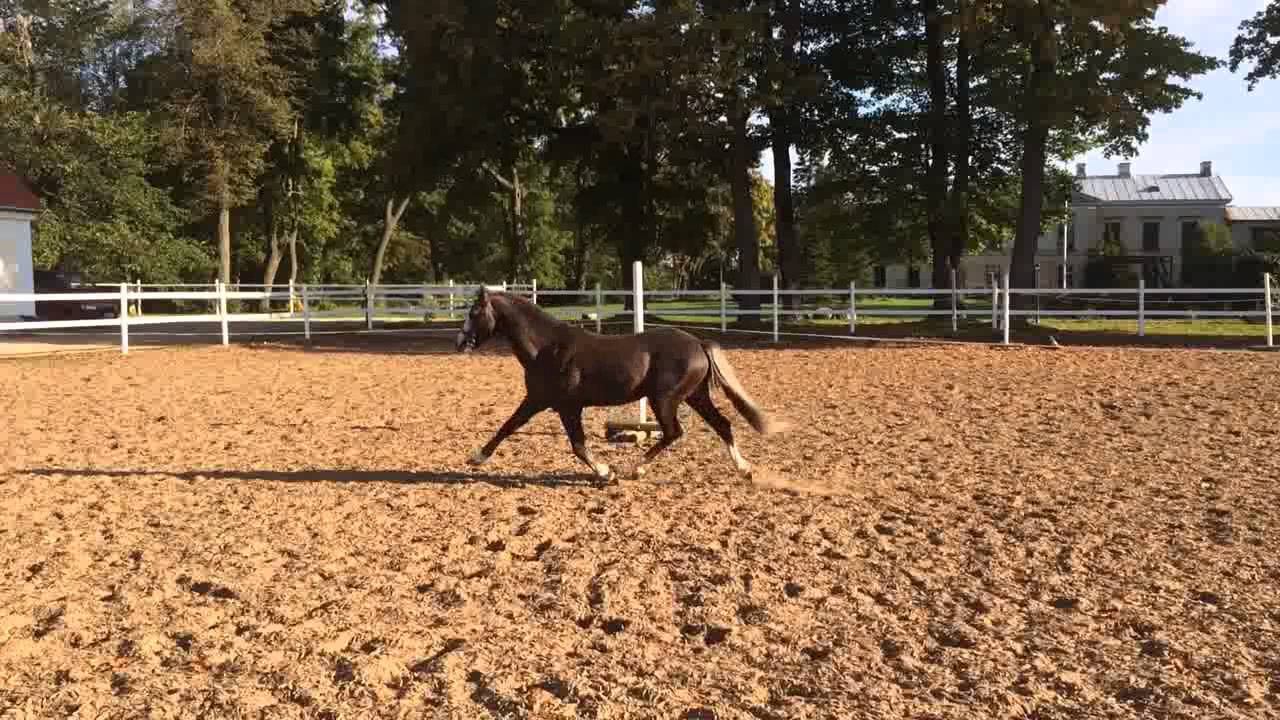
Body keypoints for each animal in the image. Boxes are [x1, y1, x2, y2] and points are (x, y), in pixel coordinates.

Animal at [455, 286, 785, 482]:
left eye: (474, 312)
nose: (459, 343)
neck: (547, 348)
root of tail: (698, 344)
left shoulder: (565, 406)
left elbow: (577, 445)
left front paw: (605, 472)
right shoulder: (537, 400)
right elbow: (507, 427)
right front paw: (476, 458)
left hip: (664, 399)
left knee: (674, 432)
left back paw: (634, 468)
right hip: (695, 396)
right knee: (722, 425)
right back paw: (744, 469)